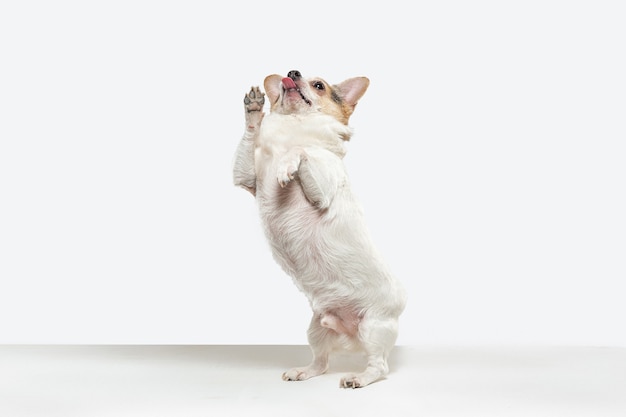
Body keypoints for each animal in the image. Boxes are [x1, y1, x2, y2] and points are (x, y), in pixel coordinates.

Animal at [233, 69, 404, 386]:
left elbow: (303, 150)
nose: (292, 73)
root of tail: (351, 337)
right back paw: (304, 371)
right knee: (321, 363)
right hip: (317, 327)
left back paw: (360, 378)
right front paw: (253, 110)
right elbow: (252, 138)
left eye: (319, 86)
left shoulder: (322, 192)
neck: (294, 127)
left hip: (373, 327)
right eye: (287, 79)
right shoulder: (246, 178)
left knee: (380, 366)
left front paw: (288, 164)